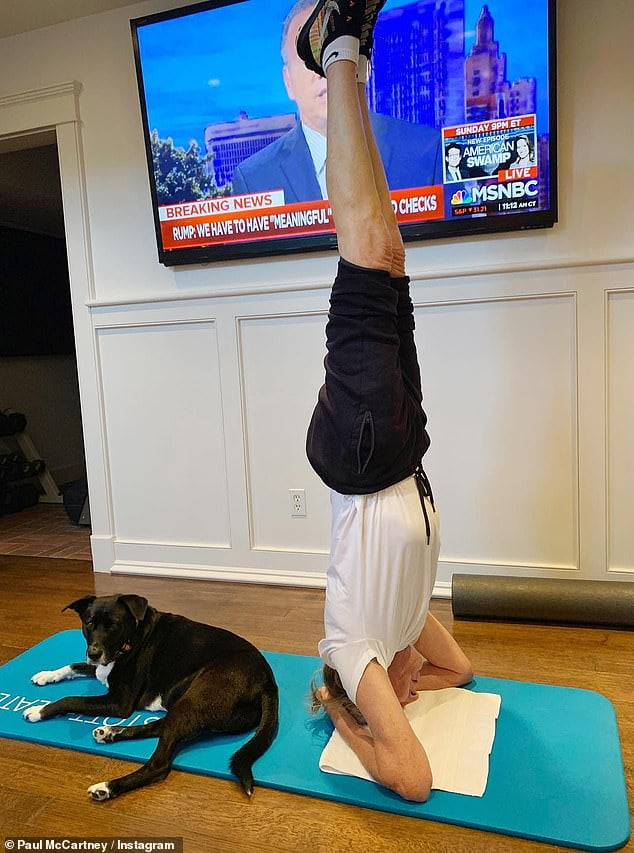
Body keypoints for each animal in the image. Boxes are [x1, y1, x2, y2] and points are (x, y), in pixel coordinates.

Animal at [24, 592, 276, 800]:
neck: (130, 639)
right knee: (160, 726)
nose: (94, 653)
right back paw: (111, 732)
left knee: (159, 765)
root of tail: (268, 681)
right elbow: (74, 665)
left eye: (114, 625)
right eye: (89, 623)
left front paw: (39, 710)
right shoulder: (99, 668)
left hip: (196, 699)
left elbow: (72, 699)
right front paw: (46, 675)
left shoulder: (119, 703)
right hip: (188, 704)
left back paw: (108, 787)